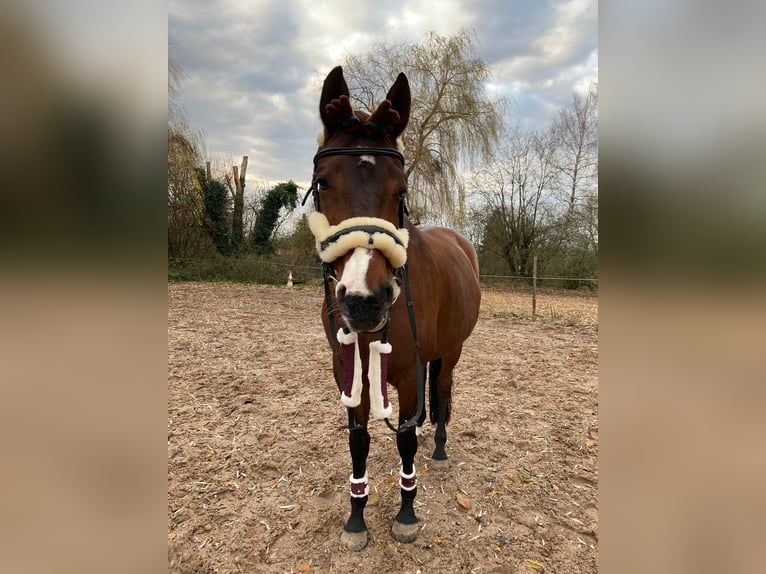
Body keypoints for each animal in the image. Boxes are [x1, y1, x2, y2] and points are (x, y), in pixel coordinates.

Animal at [304, 65, 480, 552]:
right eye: (323, 182)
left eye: (401, 189)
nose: (364, 300)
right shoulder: (347, 370)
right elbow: (359, 440)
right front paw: (356, 517)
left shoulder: (410, 372)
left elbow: (403, 439)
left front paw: (405, 513)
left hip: (451, 351)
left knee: (442, 392)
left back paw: (438, 448)